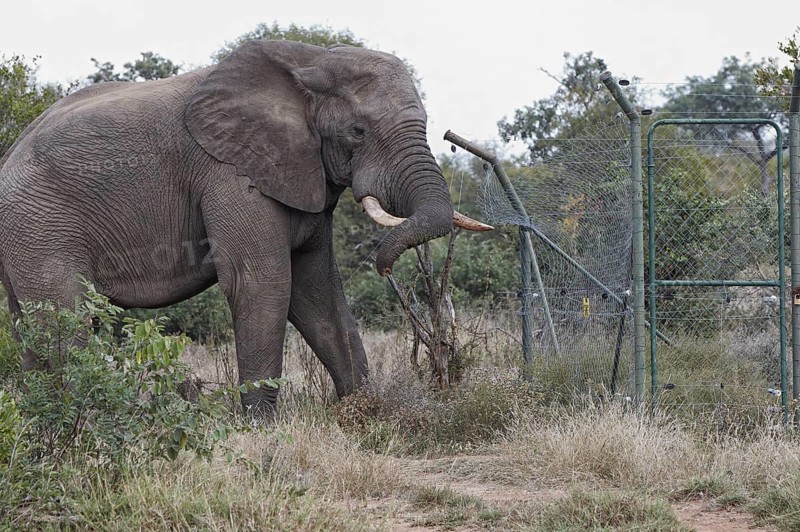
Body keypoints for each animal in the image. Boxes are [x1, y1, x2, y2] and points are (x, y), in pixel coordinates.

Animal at [0, 40, 490, 410]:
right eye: (357, 131)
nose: (385, 267)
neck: (309, 61)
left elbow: (318, 290)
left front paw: (363, 411)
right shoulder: (228, 173)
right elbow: (261, 281)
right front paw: (262, 430)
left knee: (30, 331)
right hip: (40, 223)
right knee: (64, 322)